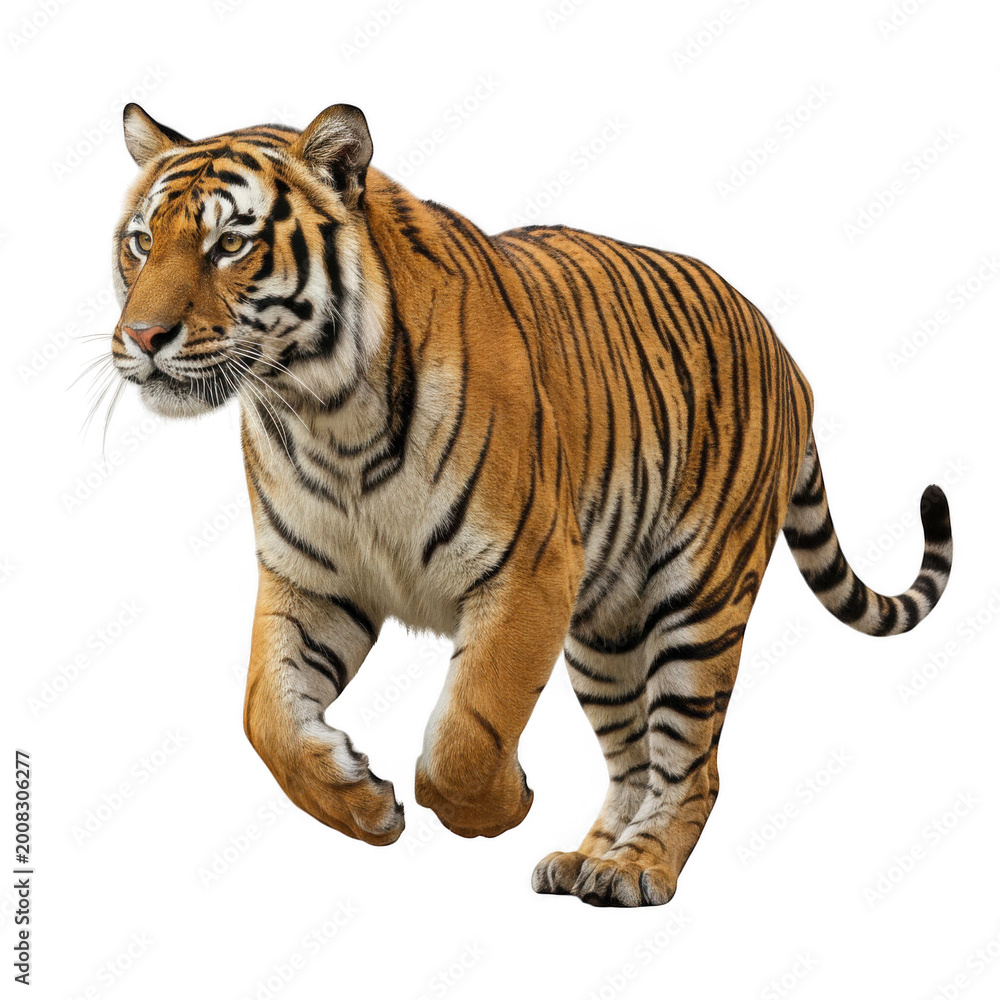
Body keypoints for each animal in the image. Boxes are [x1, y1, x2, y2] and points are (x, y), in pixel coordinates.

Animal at [108, 102, 953, 907]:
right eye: (142, 242)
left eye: (230, 244)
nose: (143, 336)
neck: (323, 412)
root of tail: (782, 349)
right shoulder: (310, 580)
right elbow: (266, 715)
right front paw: (361, 800)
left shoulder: (528, 569)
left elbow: (470, 729)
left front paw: (499, 806)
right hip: (606, 631)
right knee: (633, 761)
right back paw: (589, 861)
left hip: (700, 601)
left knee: (690, 763)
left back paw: (638, 869)